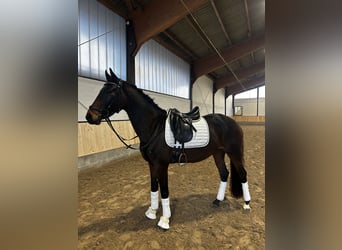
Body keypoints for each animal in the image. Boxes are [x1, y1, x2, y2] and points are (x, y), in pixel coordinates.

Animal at [85, 69, 251, 230]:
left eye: (110, 91)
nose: (89, 116)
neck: (154, 128)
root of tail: (232, 122)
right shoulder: (151, 164)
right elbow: (153, 187)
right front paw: (152, 212)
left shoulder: (162, 165)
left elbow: (164, 191)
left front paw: (164, 220)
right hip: (218, 153)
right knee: (224, 174)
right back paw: (217, 201)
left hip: (234, 153)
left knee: (242, 174)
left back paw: (246, 204)